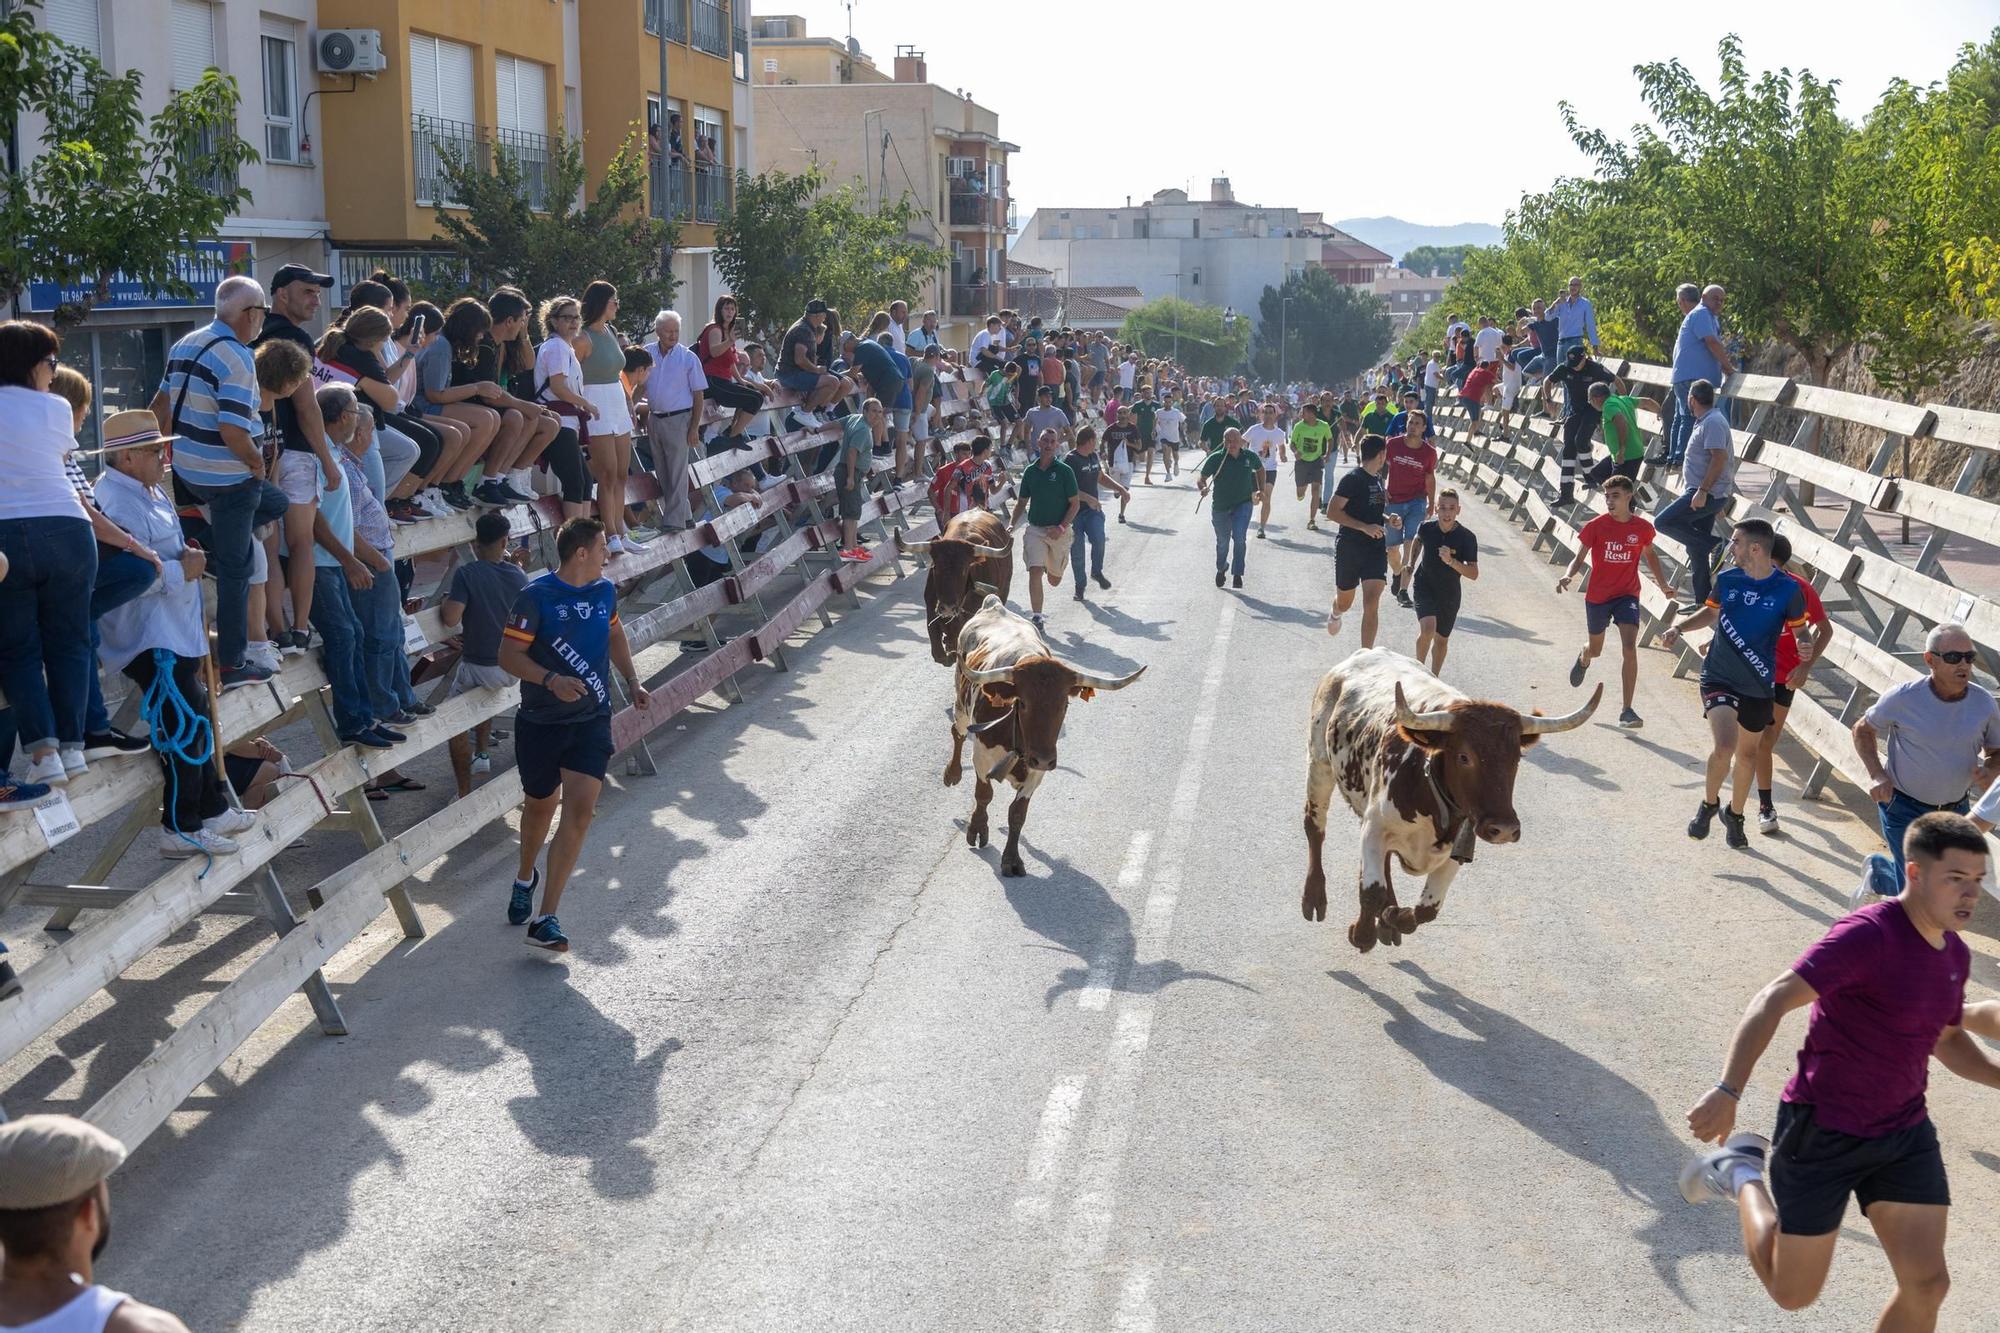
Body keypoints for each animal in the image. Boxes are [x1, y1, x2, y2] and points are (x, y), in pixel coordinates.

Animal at [948, 592, 1144, 872]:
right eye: (1023, 703)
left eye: (1065, 704)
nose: (1042, 758)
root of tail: (994, 604)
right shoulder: (982, 755)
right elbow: (984, 795)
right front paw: (977, 828)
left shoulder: (1038, 771)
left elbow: (1017, 813)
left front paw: (1011, 860)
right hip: (961, 706)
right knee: (958, 732)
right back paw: (951, 774)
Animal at [1304, 648, 1600, 948]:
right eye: (1463, 757)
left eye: (1516, 758)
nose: (1504, 828)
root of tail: (1366, 653)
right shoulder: (1375, 826)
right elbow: (1371, 892)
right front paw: (1363, 933)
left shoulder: (1457, 849)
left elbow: (1426, 910)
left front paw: (1393, 916)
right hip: (1319, 764)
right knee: (1314, 827)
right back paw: (1314, 898)